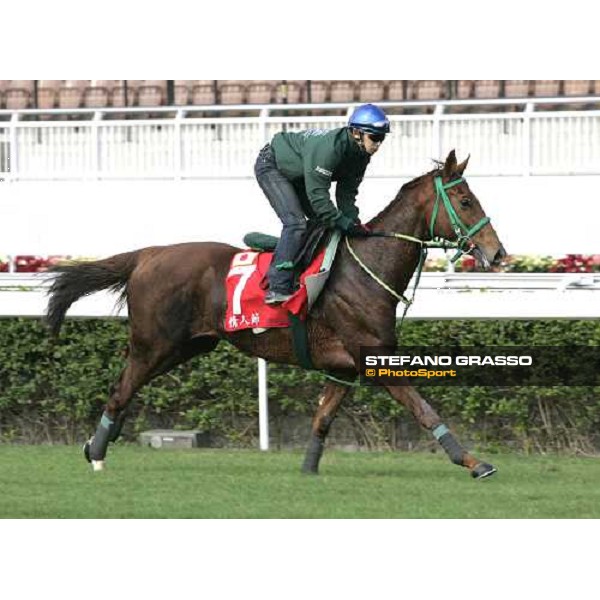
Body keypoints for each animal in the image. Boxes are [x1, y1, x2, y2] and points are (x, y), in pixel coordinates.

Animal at [47, 150, 506, 478]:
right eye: (466, 201)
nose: (497, 253)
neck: (364, 269)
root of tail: (147, 254)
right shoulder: (374, 357)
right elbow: (424, 409)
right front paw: (474, 463)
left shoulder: (343, 367)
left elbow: (323, 418)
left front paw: (308, 469)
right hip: (154, 344)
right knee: (120, 390)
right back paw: (97, 454)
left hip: (186, 346)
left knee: (124, 388)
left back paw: (96, 445)